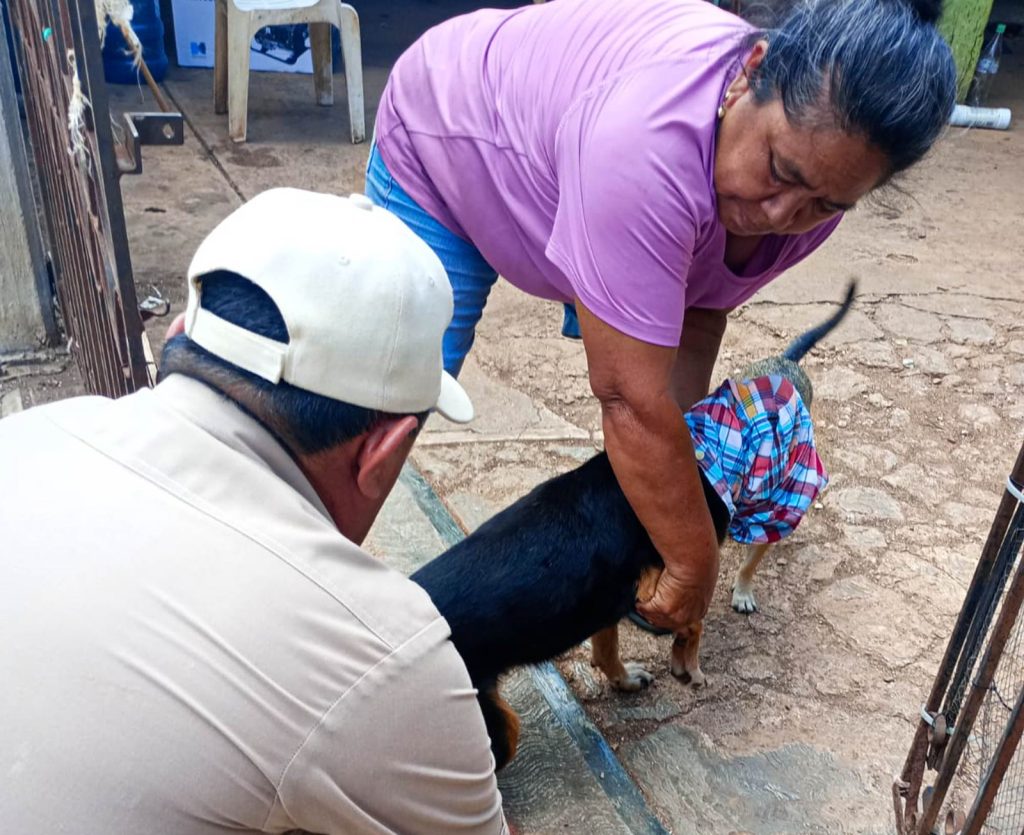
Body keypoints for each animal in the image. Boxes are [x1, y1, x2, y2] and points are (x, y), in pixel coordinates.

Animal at [411, 282, 856, 770]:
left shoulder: (613, 601)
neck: (705, 452)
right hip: (492, 726)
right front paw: (689, 668)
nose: (807, 479)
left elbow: (607, 650)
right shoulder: (674, 576)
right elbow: (694, 622)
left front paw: (624, 680)